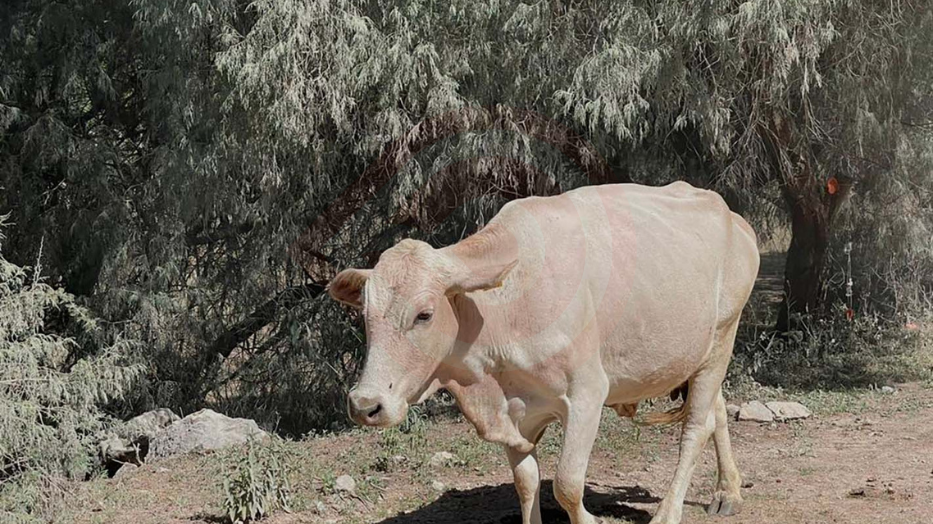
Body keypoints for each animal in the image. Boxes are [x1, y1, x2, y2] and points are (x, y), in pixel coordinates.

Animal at [328, 181, 760, 524]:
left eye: (424, 314)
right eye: (364, 314)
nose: (365, 405)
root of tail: (733, 218)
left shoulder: (586, 394)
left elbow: (567, 484)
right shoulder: (514, 412)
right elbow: (527, 481)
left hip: (723, 337)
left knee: (695, 429)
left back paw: (669, 513)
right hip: (698, 353)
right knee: (717, 413)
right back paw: (727, 492)